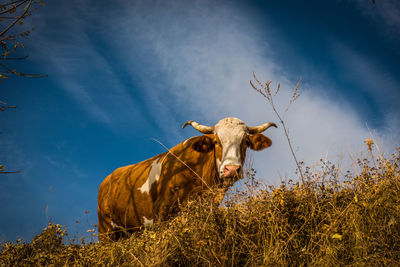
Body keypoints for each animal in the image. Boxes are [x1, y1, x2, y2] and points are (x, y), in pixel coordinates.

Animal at [98, 118, 276, 242]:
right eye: (216, 142)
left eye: (246, 142)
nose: (231, 169)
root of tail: (109, 178)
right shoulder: (162, 213)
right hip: (105, 229)